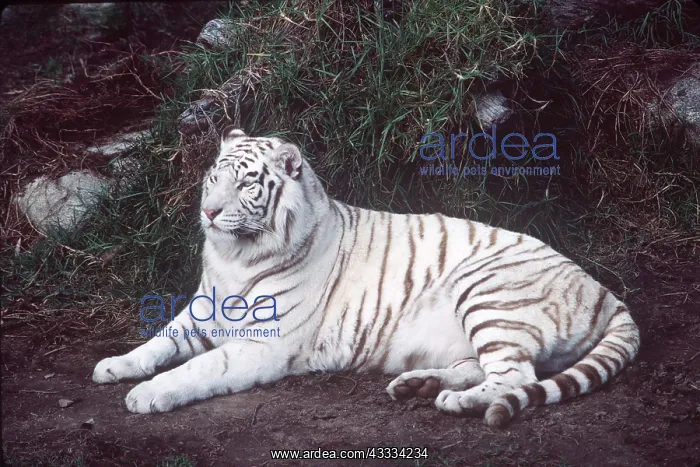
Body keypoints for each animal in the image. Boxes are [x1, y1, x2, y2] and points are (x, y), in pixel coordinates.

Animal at [92, 126, 640, 428]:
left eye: (247, 183)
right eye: (214, 177)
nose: (208, 211)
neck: (236, 257)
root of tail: (607, 294)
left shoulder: (262, 343)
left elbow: (199, 367)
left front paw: (147, 394)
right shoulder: (203, 310)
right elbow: (159, 341)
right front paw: (115, 367)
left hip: (488, 292)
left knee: (515, 379)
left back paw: (454, 400)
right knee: (482, 367)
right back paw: (417, 385)